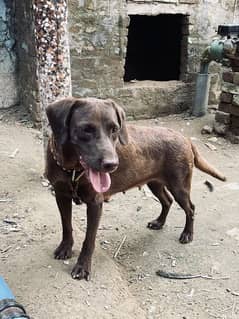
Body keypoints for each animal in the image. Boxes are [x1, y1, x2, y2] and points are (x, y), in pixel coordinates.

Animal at [45, 97, 226, 280]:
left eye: (115, 129)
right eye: (86, 129)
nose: (111, 164)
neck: (71, 170)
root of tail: (185, 138)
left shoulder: (95, 203)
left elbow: (89, 239)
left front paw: (82, 266)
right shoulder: (61, 196)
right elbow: (66, 225)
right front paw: (65, 248)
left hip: (179, 186)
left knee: (190, 208)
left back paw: (187, 234)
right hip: (155, 183)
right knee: (167, 201)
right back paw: (159, 222)